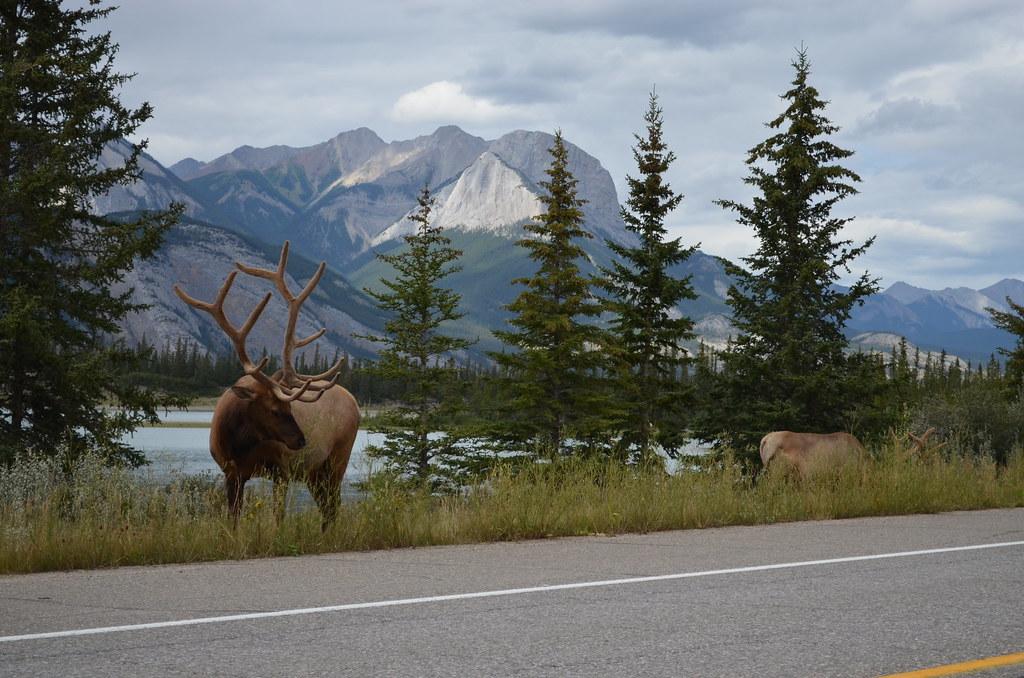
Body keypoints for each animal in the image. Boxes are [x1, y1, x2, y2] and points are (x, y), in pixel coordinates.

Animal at [174, 242, 360, 529]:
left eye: (291, 408)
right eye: (274, 409)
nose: (301, 440)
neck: (239, 443)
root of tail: (356, 403)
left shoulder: (281, 470)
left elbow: (278, 518)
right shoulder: (231, 472)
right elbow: (233, 517)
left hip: (337, 460)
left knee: (333, 506)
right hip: (314, 472)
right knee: (327, 507)